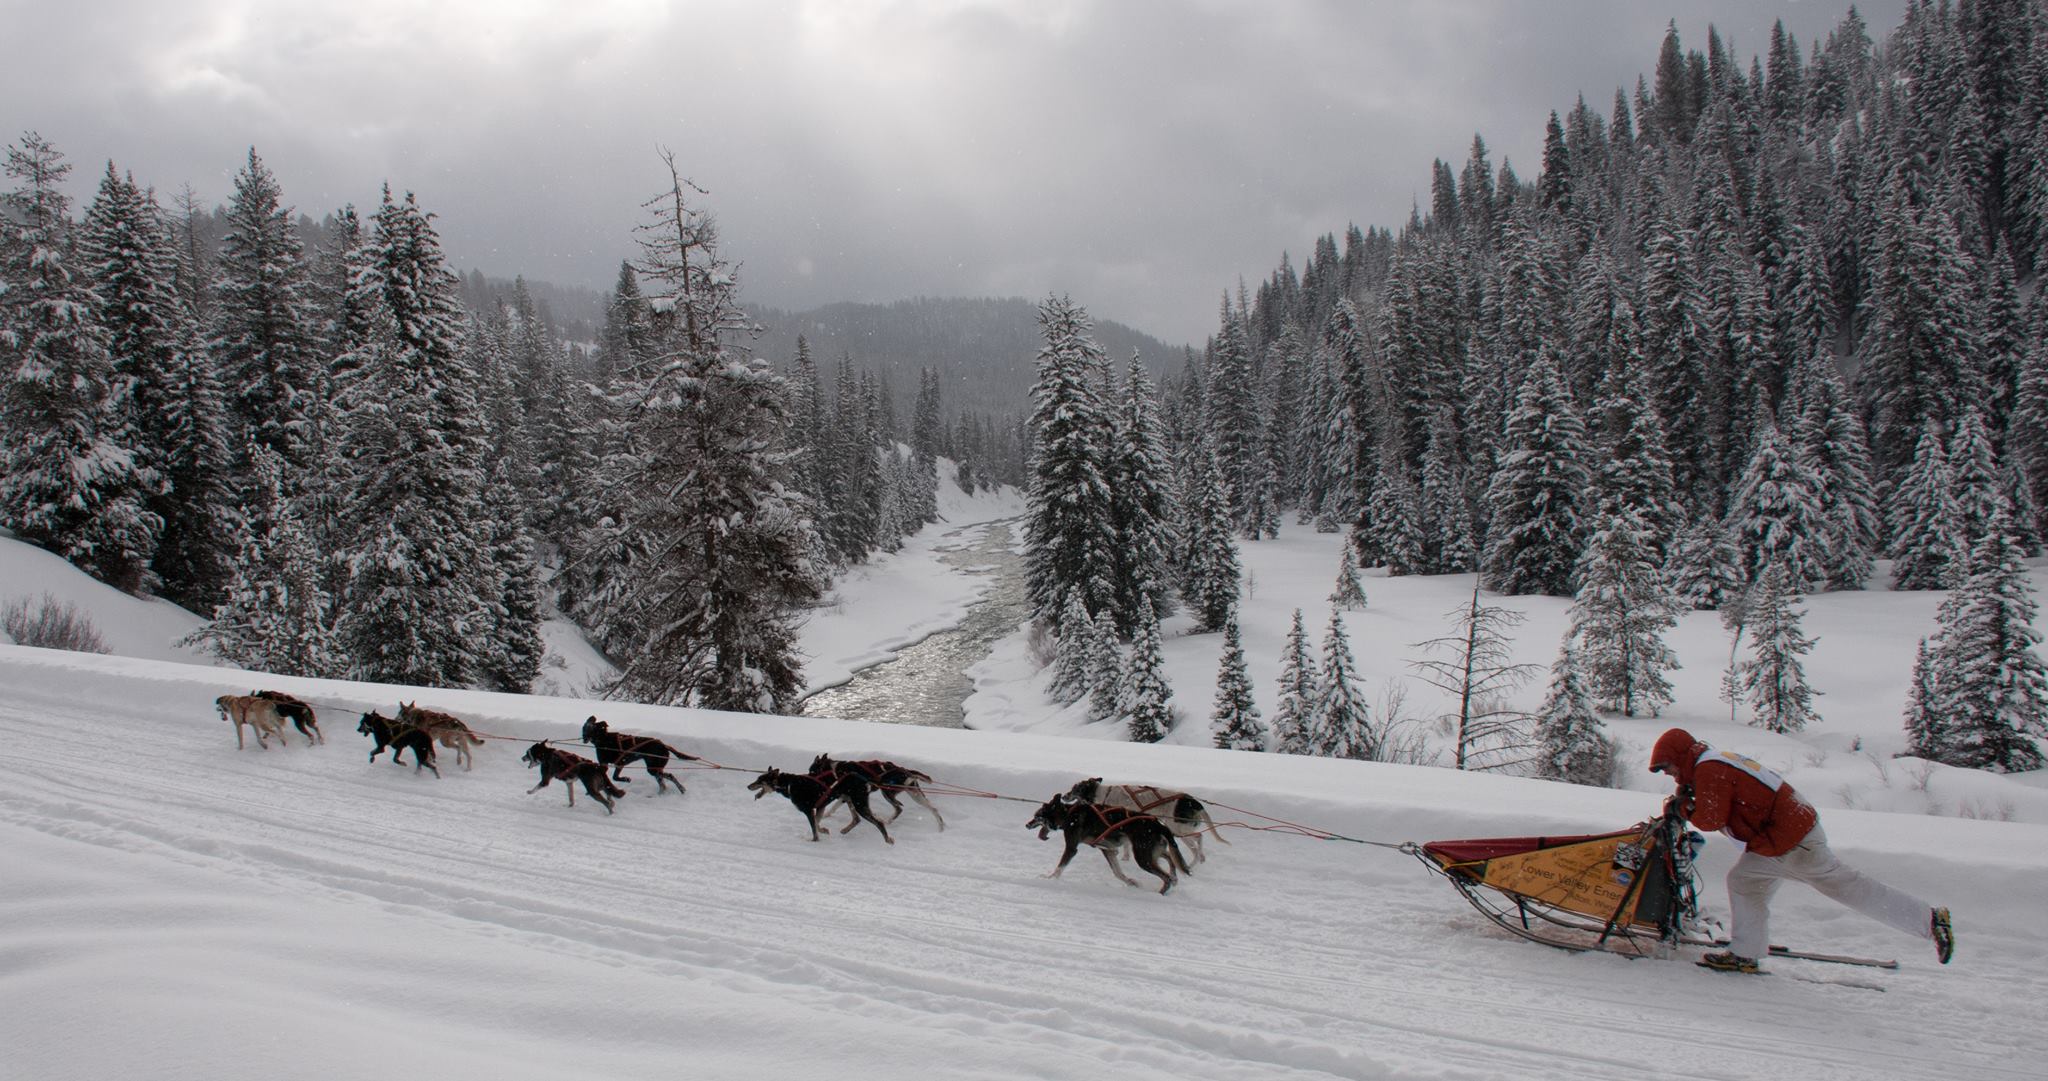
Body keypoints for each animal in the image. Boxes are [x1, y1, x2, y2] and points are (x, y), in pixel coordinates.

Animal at [1032, 794, 1196, 896]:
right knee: (1169, 857)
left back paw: (1160, 892)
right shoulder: (1107, 850)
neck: (1069, 814)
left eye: (1037, 815)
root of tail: (1158, 824)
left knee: (1166, 877)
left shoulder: (1072, 848)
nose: (1028, 824)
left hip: (1143, 858)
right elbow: (1117, 872)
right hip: (1152, 852)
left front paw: (1050, 878)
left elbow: (1060, 867)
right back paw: (1174, 877)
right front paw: (1131, 883)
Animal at [1064, 777, 1220, 868]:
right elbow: (1126, 844)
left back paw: (1193, 862)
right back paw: (1199, 859)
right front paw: (1126, 857)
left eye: (1074, 789)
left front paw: (1124, 856)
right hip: (1180, 829)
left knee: (1198, 839)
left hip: (1177, 829)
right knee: (1198, 840)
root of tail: (1193, 802)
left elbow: (1125, 843)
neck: (1104, 794)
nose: (1064, 796)